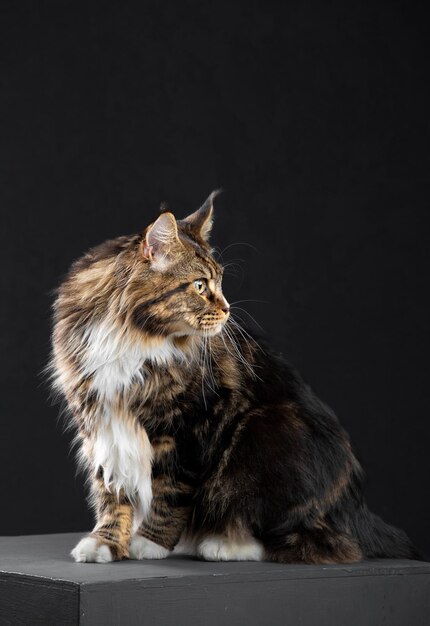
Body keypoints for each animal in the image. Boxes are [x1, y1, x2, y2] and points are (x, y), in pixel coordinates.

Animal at [49, 190, 420, 560]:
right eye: (200, 285)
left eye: (220, 282)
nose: (227, 309)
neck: (132, 337)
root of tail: (355, 507)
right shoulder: (101, 424)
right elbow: (112, 494)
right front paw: (106, 543)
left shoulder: (187, 425)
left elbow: (169, 491)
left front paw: (150, 542)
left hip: (266, 433)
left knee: (306, 538)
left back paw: (225, 544)